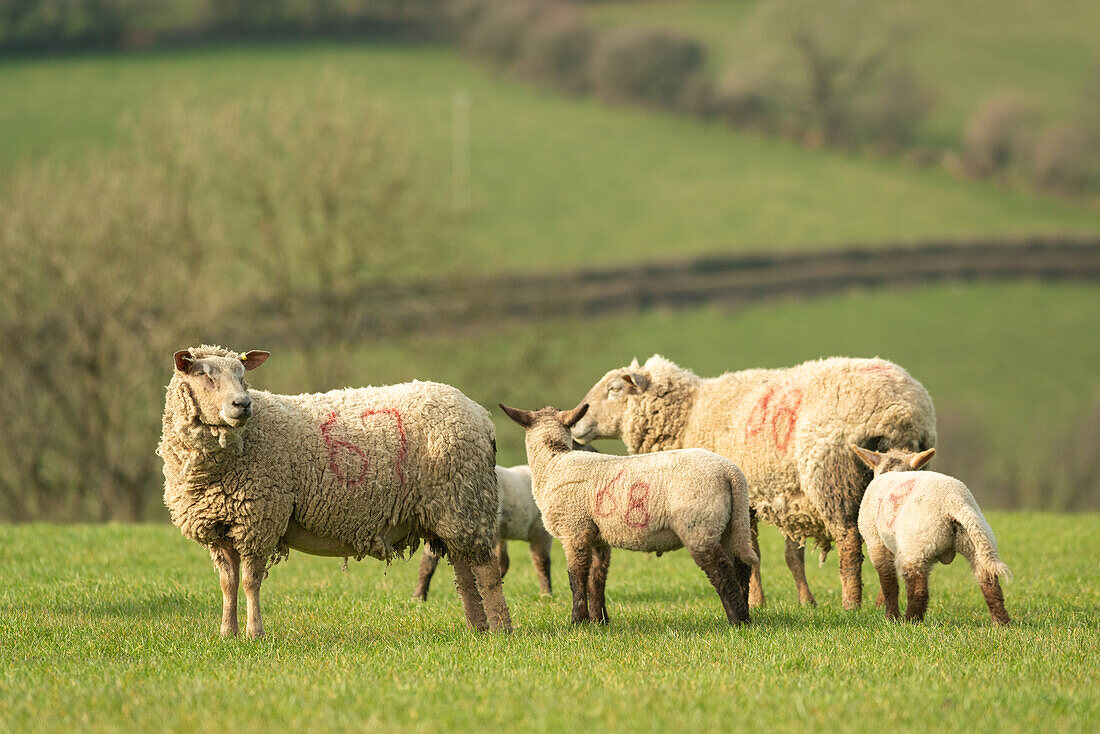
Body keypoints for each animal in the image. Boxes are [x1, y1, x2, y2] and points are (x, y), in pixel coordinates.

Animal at [158, 345, 510, 638]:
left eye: (243, 376)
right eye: (202, 374)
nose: (242, 404)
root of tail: (482, 416)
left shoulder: (259, 520)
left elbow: (249, 582)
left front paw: (254, 633)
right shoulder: (219, 526)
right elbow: (227, 584)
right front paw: (226, 634)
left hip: (466, 499)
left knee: (487, 571)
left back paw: (501, 629)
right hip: (452, 509)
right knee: (465, 571)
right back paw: (477, 628)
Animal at [413, 464, 554, 603]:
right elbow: (427, 564)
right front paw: (417, 599)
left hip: (540, 531)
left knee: (541, 562)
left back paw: (545, 595)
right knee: (504, 561)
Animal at [499, 402, 756, 625]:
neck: (553, 462)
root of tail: (731, 472)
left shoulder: (575, 530)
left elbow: (576, 576)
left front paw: (578, 621)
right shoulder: (597, 537)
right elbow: (597, 578)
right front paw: (600, 620)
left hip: (699, 524)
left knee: (721, 568)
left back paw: (738, 620)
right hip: (731, 523)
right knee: (741, 566)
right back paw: (745, 612)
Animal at [567, 354, 937, 607]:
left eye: (614, 390)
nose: (576, 421)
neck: (690, 413)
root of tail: (900, 409)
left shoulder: (742, 497)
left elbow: (749, 551)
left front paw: (754, 601)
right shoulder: (774, 494)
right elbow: (787, 555)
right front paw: (805, 602)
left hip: (833, 478)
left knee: (848, 542)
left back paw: (852, 603)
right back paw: (879, 600)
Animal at [849, 448, 1012, 625]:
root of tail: (953, 501)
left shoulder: (875, 543)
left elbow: (888, 583)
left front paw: (891, 617)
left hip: (916, 547)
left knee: (918, 590)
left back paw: (910, 621)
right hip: (977, 539)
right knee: (989, 581)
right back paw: (1001, 623)